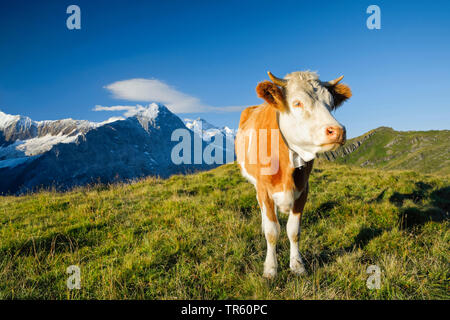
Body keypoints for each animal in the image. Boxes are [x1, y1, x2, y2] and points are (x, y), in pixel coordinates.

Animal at [236, 70, 352, 278]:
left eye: (330, 103)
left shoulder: (303, 189)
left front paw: (297, 265)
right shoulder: (264, 189)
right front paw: (270, 269)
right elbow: (272, 232)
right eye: (297, 103)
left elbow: (293, 230)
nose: (338, 131)